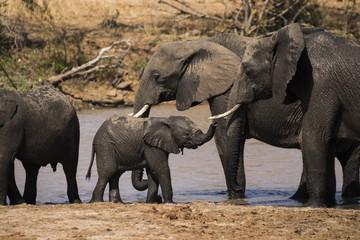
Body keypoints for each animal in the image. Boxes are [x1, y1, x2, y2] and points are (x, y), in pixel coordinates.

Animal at [86, 115, 217, 203]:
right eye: (186, 134)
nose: (215, 123)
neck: (167, 120)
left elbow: (152, 171)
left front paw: (151, 202)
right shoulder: (151, 146)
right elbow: (161, 169)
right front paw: (170, 203)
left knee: (115, 174)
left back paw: (117, 202)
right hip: (105, 146)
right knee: (108, 172)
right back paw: (97, 202)